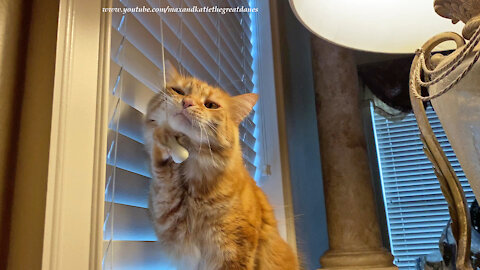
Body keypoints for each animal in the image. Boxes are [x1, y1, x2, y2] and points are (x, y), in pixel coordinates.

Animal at [144, 62, 298, 268]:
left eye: (210, 105)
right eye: (178, 91)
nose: (187, 102)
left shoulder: (234, 251)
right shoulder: (169, 222)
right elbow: (162, 173)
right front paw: (164, 137)